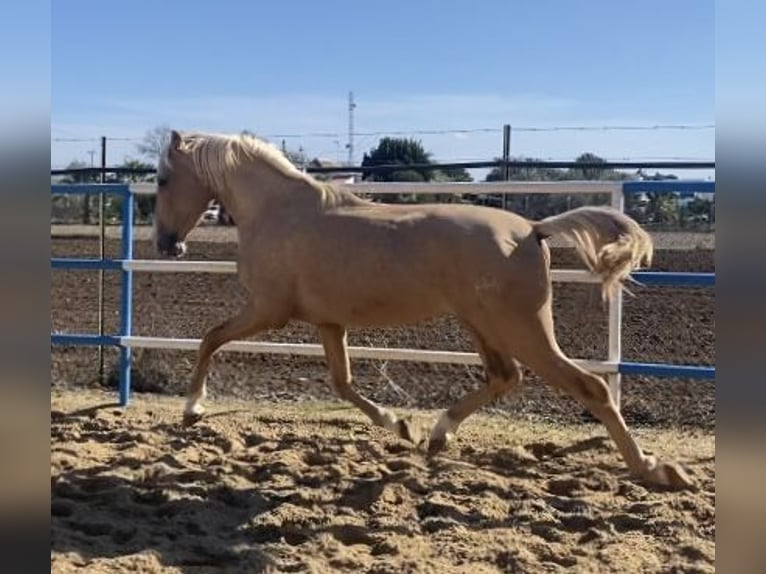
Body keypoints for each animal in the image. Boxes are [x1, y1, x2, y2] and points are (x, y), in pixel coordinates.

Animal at [154, 130, 696, 490]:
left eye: (161, 179)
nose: (165, 244)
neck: (277, 212)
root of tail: (533, 229)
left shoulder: (268, 310)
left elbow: (211, 337)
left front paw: (192, 407)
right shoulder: (328, 321)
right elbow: (342, 383)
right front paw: (400, 425)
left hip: (521, 328)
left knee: (590, 387)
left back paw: (654, 469)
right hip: (483, 325)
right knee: (505, 377)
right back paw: (438, 435)